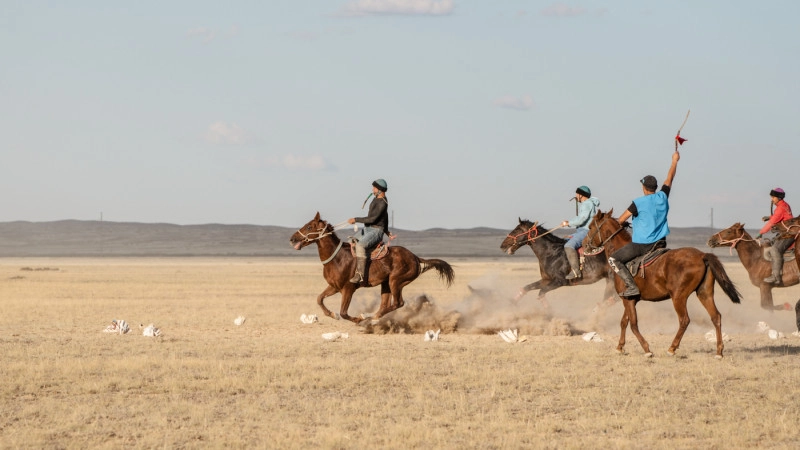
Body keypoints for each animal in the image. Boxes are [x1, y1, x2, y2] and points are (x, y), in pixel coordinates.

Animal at [290, 212, 454, 324]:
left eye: (309, 226)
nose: (292, 238)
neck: (337, 258)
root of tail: (415, 257)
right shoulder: (334, 287)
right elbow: (319, 299)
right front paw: (332, 314)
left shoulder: (348, 288)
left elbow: (344, 312)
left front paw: (357, 320)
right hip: (386, 284)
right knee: (385, 304)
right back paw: (372, 317)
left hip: (396, 281)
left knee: (398, 303)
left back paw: (369, 317)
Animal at [580, 208, 744, 358]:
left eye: (590, 227)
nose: (584, 245)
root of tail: (703, 255)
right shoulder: (630, 299)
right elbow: (624, 322)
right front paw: (620, 347)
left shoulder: (628, 299)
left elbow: (633, 324)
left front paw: (646, 349)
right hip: (704, 293)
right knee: (716, 317)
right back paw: (719, 351)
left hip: (678, 297)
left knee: (684, 320)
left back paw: (672, 348)